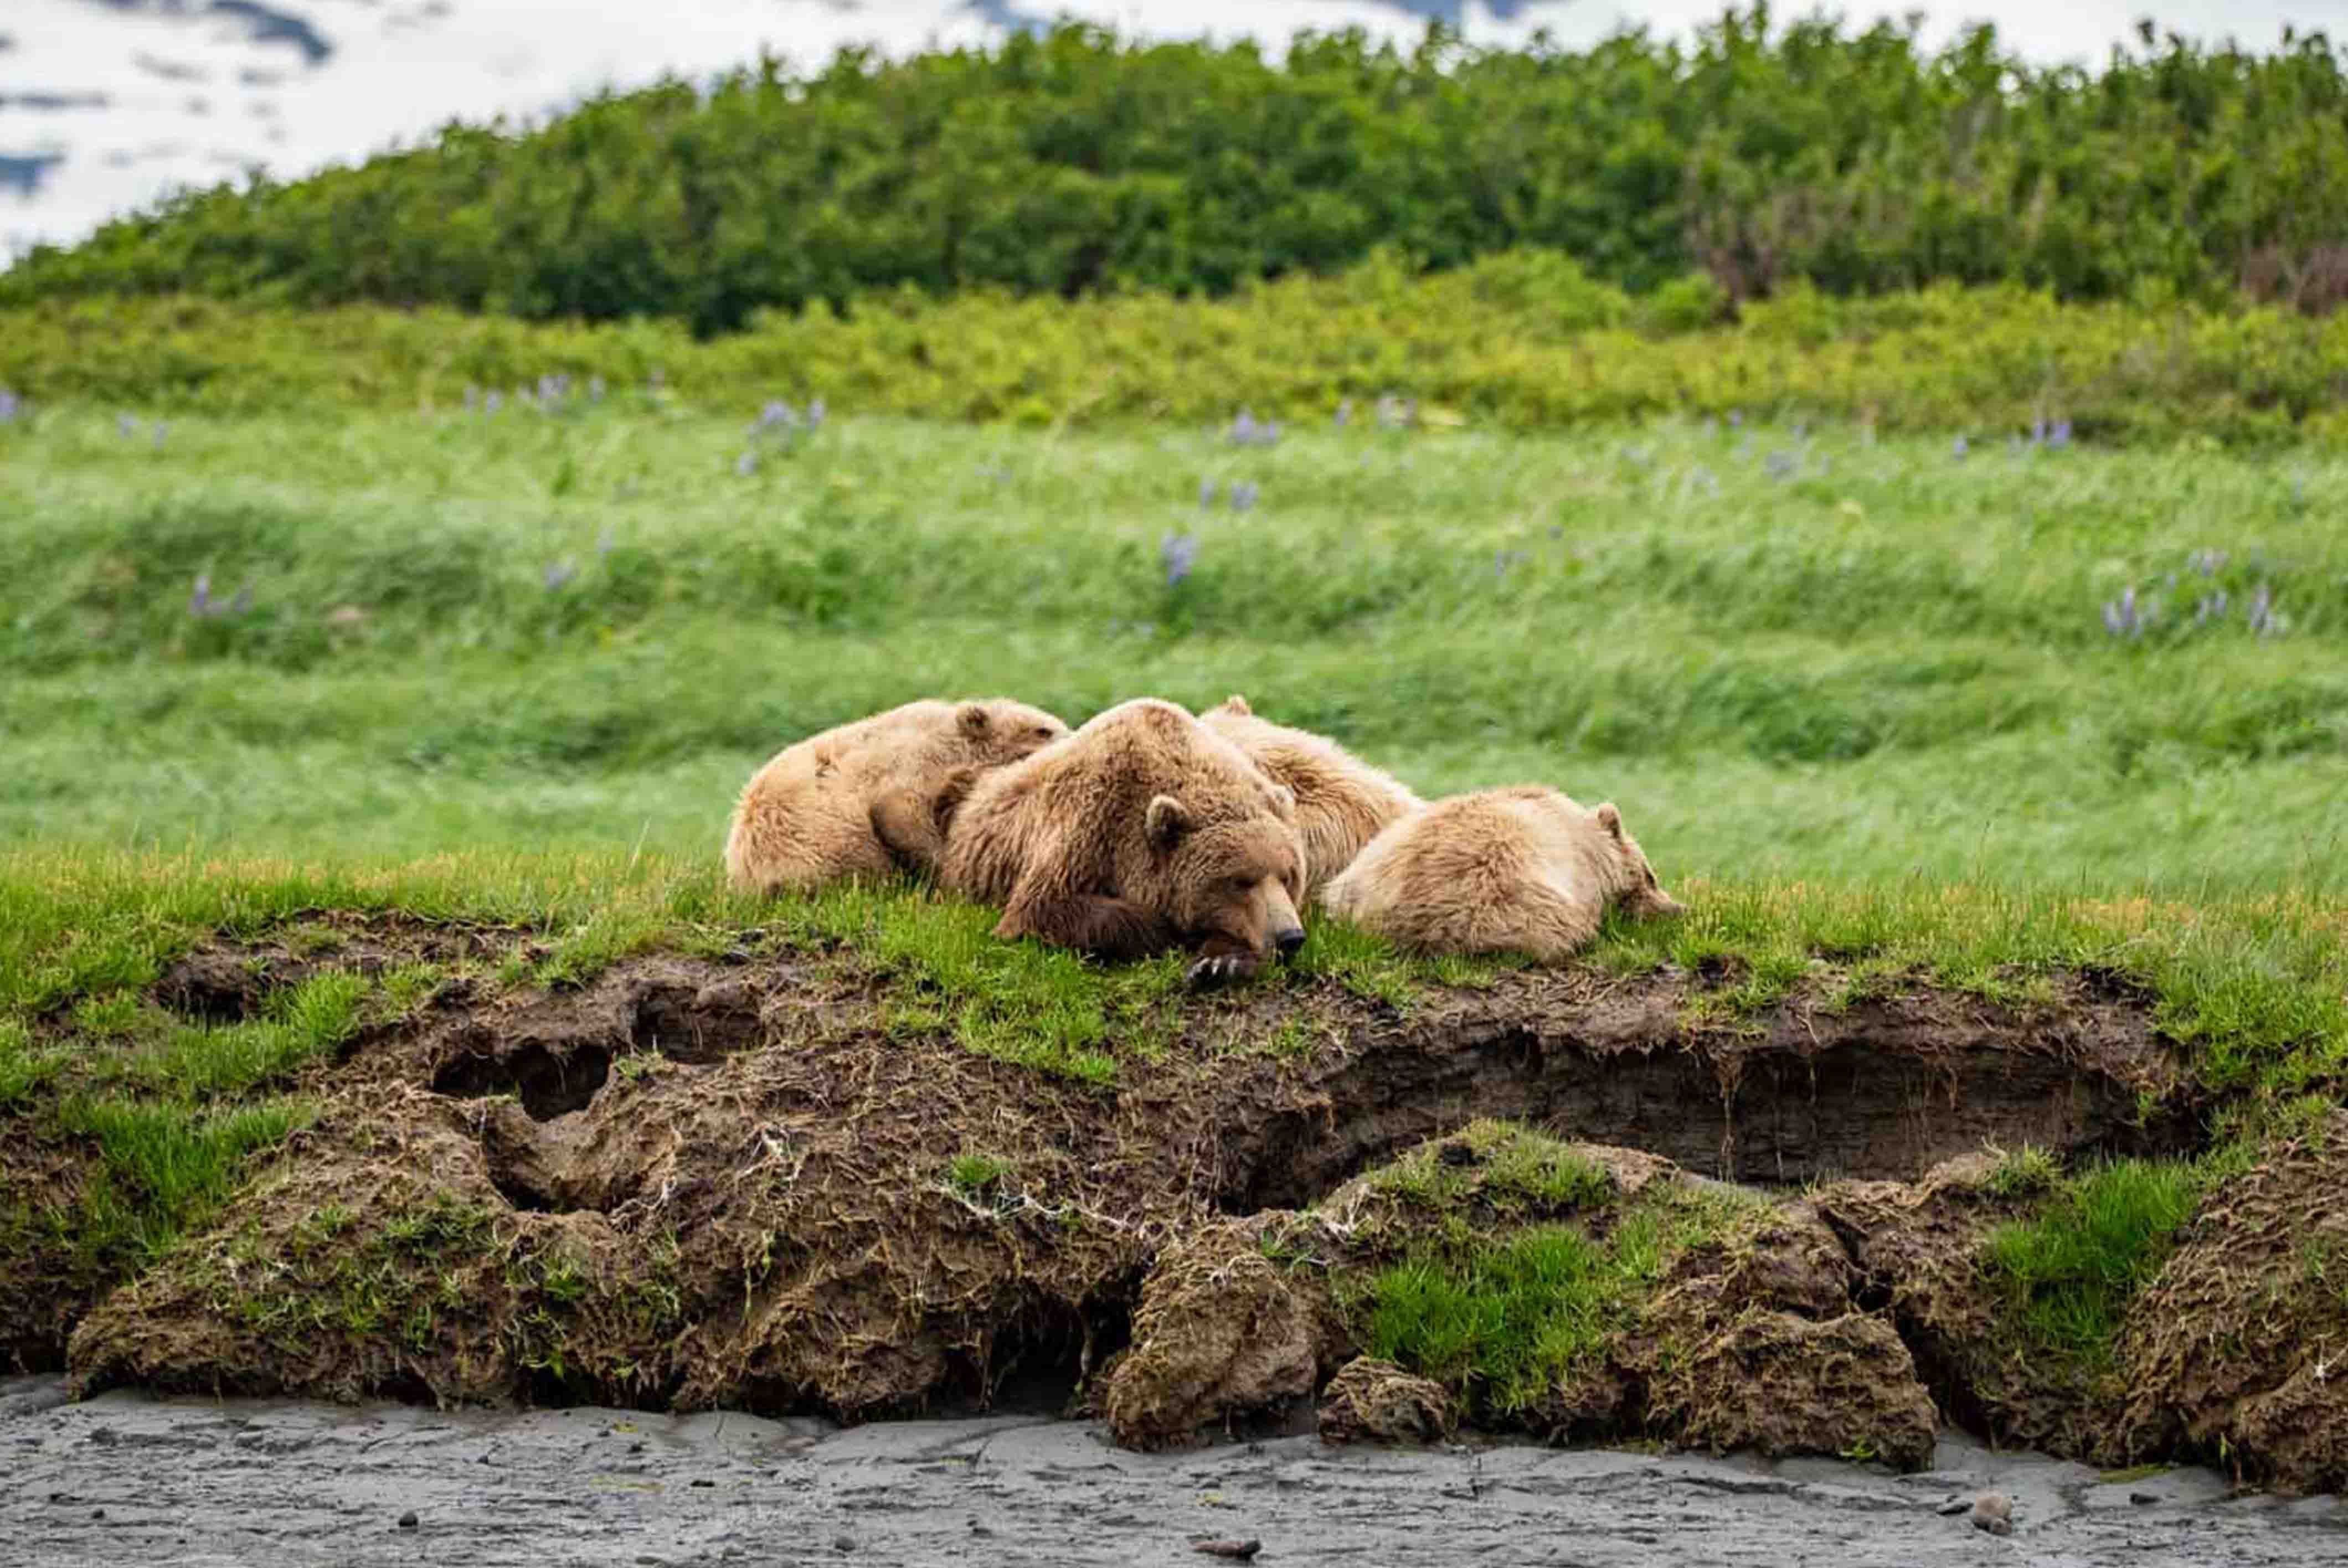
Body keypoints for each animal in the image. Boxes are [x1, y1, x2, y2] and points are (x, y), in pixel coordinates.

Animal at [723, 698, 1069, 895]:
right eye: (1043, 730)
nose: (1073, 737)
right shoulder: (909, 763)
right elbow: (898, 811)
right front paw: (942, 869)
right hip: (815, 838)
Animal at [939, 698, 1308, 986]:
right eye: (1240, 881)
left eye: (1289, 876)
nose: (1290, 937)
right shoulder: (1091, 823)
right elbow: (1042, 907)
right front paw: (1177, 934)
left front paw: (1219, 963)